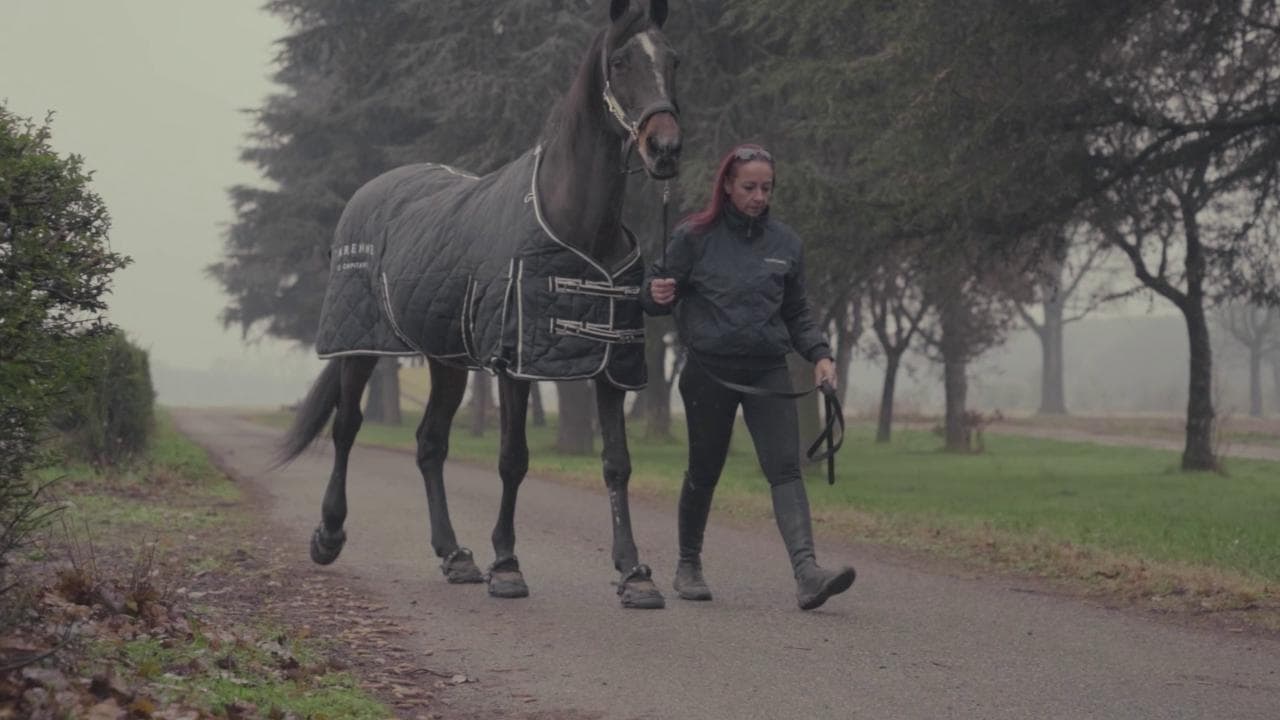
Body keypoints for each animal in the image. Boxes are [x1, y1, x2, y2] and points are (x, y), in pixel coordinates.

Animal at [276, 0, 681, 609]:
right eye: (620, 62)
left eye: (672, 59)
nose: (665, 149)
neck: (574, 225)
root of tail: (370, 192)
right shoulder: (514, 364)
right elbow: (513, 460)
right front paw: (507, 566)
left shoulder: (611, 363)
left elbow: (617, 464)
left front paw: (635, 573)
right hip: (359, 345)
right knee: (347, 426)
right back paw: (329, 534)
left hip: (447, 361)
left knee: (429, 444)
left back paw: (454, 555)